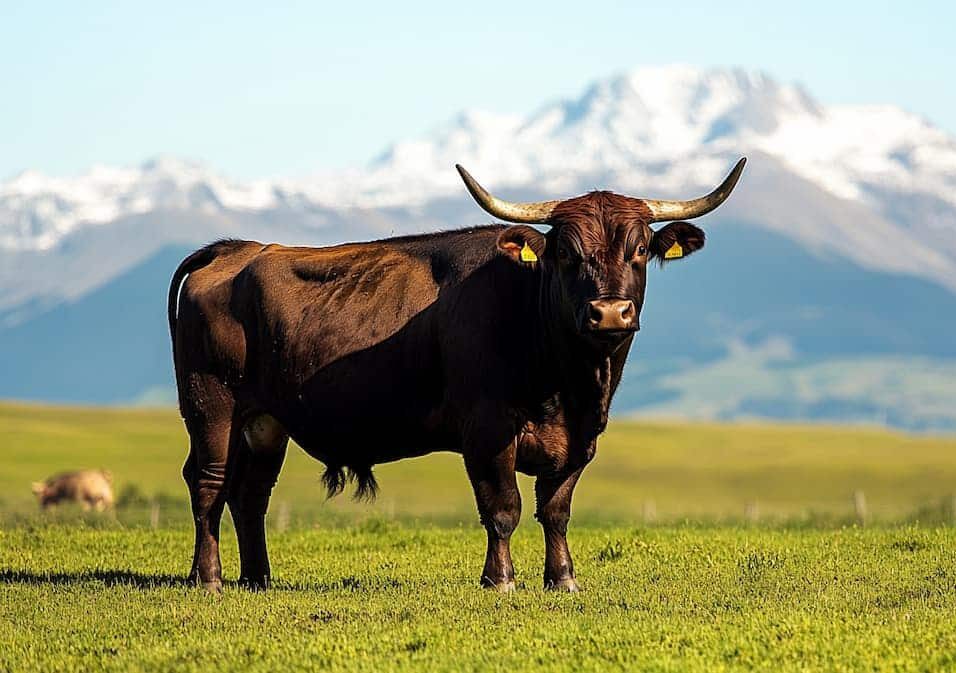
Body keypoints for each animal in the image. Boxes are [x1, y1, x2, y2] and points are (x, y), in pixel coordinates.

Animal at [168, 158, 746, 593]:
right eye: (565, 252)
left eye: (640, 249)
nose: (609, 313)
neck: (571, 384)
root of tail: (238, 250)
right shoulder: (487, 431)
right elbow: (503, 507)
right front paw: (500, 580)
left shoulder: (581, 439)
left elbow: (556, 509)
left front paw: (562, 579)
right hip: (211, 408)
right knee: (208, 483)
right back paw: (208, 578)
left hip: (265, 423)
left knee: (250, 493)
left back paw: (258, 578)